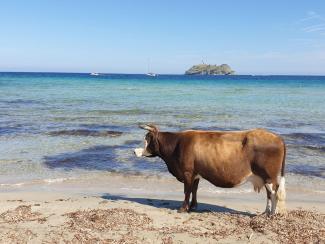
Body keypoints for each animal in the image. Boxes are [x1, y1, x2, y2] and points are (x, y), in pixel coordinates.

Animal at [133, 125, 284, 214]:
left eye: (147, 140)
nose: (134, 151)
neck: (177, 145)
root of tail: (278, 137)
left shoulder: (187, 172)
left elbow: (187, 191)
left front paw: (183, 208)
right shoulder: (195, 174)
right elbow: (194, 190)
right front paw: (193, 206)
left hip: (269, 176)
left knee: (274, 193)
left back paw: (272, 214)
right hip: (265, 178)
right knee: (269, 194)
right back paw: (265, 213)